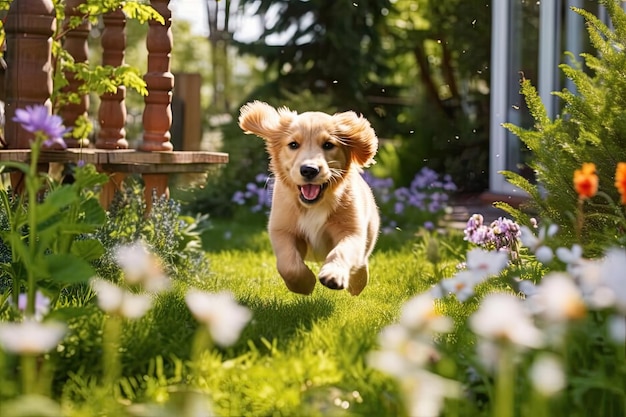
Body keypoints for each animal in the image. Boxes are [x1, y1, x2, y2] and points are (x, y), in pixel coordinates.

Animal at [236, 101, 378, 296]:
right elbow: (288, 265)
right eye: (293, 144)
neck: (313, 206)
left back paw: (357, 283)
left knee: (361, 261)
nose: (309, 170)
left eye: (328, 145)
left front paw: (333, 276)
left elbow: (342, 251)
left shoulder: (352, 230)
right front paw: (305, 284)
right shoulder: (282, 229)